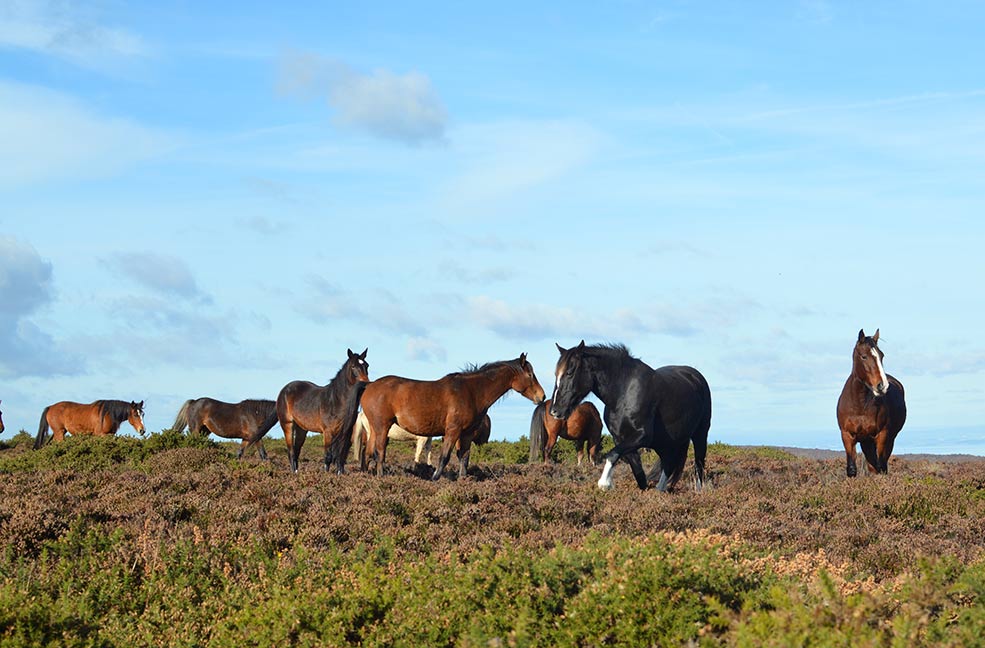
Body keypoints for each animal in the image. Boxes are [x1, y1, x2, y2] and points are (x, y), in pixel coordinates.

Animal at [276, 346, 368, 474]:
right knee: (291, 451)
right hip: (287, 425)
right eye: (353, 366)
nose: (365, 384)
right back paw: (293, 472)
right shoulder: (328, 432)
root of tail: (284, 389)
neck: (336, 401)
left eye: (367, 365)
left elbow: (340, 456)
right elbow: (328, 457)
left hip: (301, 429)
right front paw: (326, 474)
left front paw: (339, 474)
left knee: (297, 450)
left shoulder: (346, 433)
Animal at [358, 354, 544, 480]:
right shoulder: (453, 430)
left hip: (375, 429)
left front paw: (463, 480)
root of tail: (369, 387)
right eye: (530, 374)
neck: (471, 391)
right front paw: (434, 478)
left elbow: (464, 457)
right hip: (382, 427)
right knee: (379, 452)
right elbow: (444, 457)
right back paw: (381, 476)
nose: (541, 396)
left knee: (369, 452)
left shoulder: (467, 433)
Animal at [548, 342, 712, 488]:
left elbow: (612, 454)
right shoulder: (623, 439)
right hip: (666, 442)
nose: (555, 410)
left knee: (698, 465)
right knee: (668, 464)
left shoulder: (642, 436)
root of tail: (696, 376)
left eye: (570, 372)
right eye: (556, 374)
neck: (624, 393)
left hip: (700, 435)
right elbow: (639, 475)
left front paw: (605, 483)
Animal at [836, 330, 908, 476]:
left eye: (881, 355)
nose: (882, 385)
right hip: (866, 442)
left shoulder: (882, 436)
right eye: (864, 356)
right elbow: (852, 469)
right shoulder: (847, 436)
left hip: (888, 439)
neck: (859, 406)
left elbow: (880, 467)